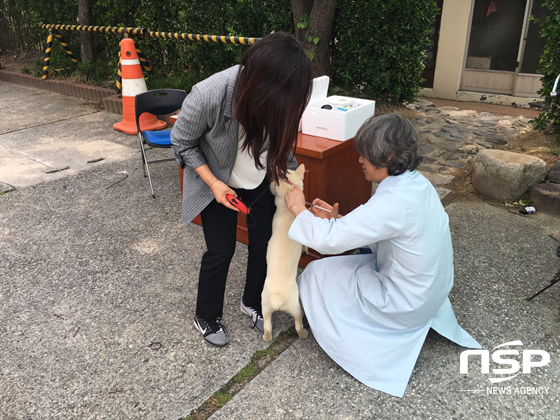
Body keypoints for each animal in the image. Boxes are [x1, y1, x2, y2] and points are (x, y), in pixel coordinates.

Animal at [262, 163, 308, 342]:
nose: (268, 182)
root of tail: (278, 296)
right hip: (295, 306)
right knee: (298, 323)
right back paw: (303, 334)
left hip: (265, 305)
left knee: (267, 324)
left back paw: (267, 337)